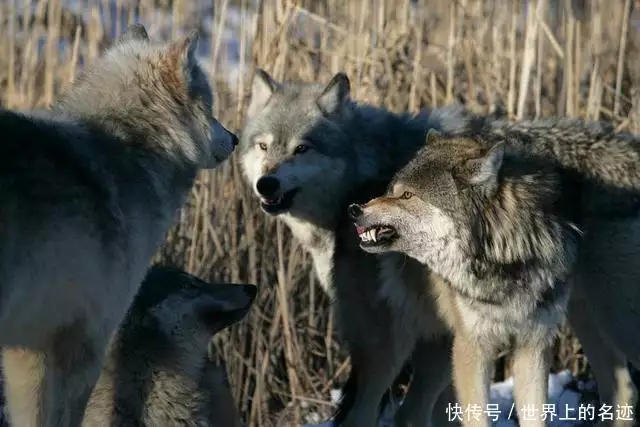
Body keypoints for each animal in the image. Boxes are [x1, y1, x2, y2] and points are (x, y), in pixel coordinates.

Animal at [352, 114, 640, 427]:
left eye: (407, 195)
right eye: (391, 191)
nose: (355, 210)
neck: (509, 255)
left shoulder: (533, 345)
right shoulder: (473, 347)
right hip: (395, 355)